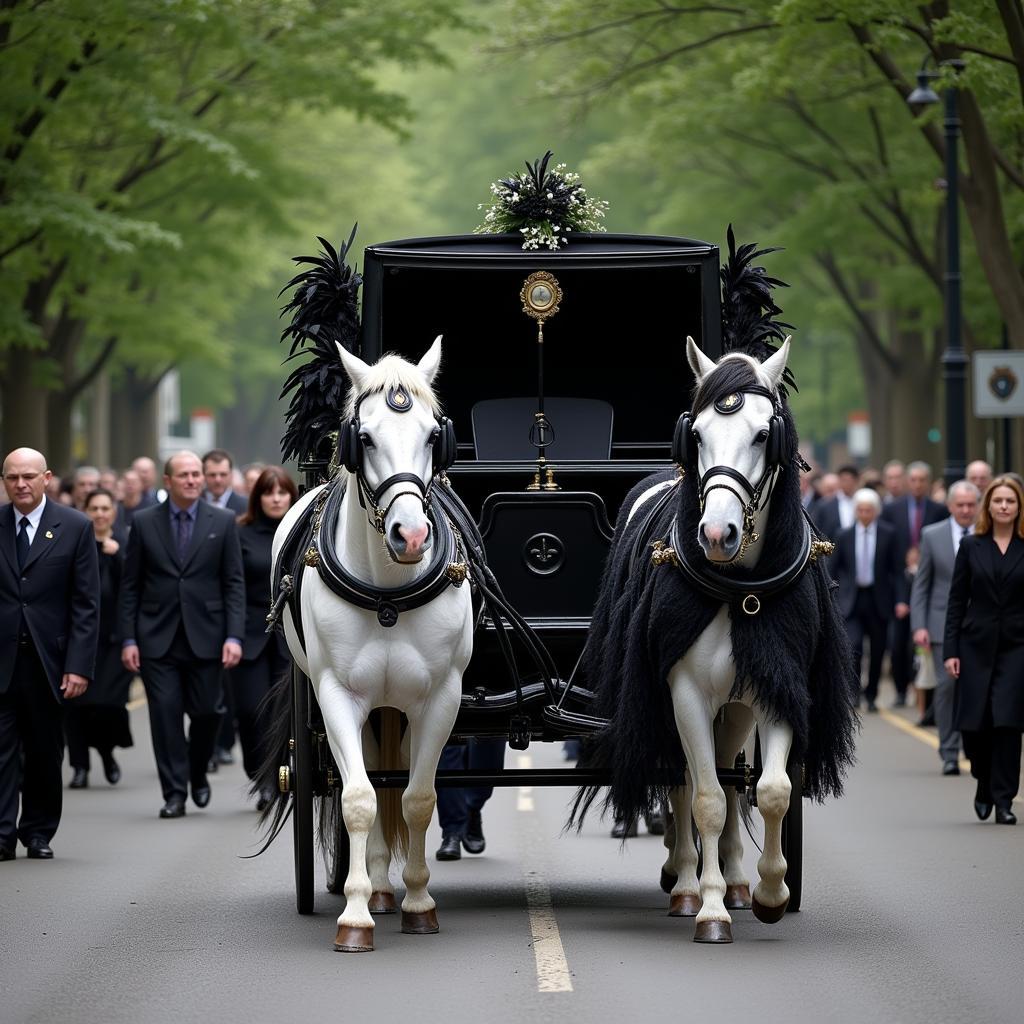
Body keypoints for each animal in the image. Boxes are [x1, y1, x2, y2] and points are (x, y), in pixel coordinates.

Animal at [272, 337, 471, 950]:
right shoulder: (337, 695)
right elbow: (359, 799)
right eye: (364, 439)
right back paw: (375, 888)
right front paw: (356, 914)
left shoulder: (441, 698)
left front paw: (420, 903)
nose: (411, 536)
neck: (388, 590)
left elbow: (417, 798)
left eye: (433, 435)